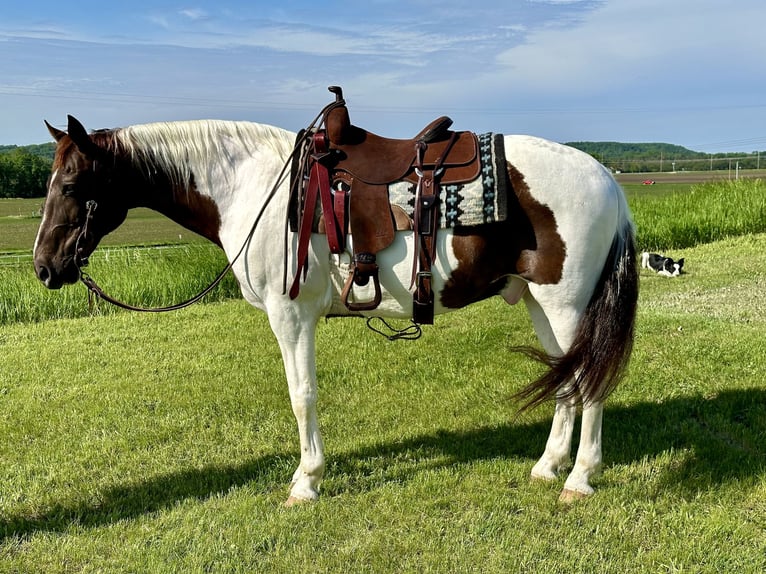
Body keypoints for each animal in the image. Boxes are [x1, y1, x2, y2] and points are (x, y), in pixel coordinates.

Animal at [33, 95, 640, 508]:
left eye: (71, 186)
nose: (44, 266)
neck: (252, 186)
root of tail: (607, 179)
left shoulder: (291, 315)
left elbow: (302, 396)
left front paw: (306, 481)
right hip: (543, 306)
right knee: (566, 381)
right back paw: (548, 466)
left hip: (567, 306)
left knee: (588, 383)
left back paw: (580, 478)